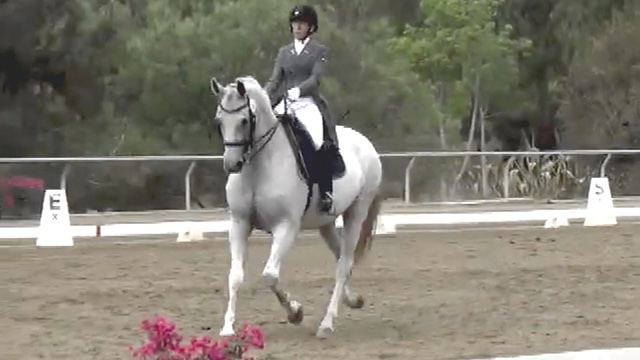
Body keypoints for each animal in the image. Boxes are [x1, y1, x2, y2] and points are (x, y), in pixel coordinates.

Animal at [210, 75, 382, 338]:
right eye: (219, 121)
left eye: (243, 120)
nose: (232, 164)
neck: (260, 166)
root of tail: (365, 142)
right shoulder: (239, 223)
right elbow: (235, 276)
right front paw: (228, 327)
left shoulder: (286, 226)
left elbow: (270, 275)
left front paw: (295, 312)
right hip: (326, 222)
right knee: (342, 258)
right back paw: (353, 300)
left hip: (357, 212)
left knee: (343, 265)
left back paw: (327, 323)